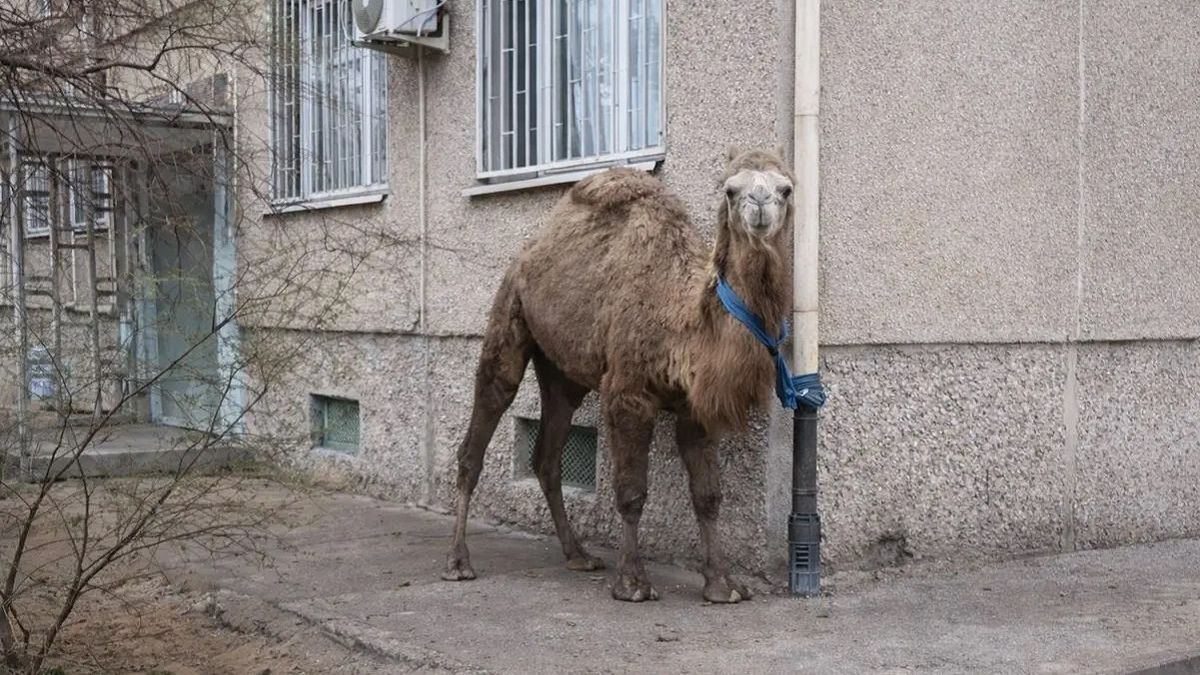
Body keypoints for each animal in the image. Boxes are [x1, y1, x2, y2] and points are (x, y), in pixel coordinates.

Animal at [442, 149, 795, 603]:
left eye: (786, 189)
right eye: (731, 190)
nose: (761, 205)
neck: (680, 321)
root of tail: (529, 251)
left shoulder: (694, 407)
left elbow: (708, 496)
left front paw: (722, 584)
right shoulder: (628, 392)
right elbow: (631, 491)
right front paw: (632, 582)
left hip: (561, 371)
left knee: (548, 454)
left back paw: (578, 554)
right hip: (508, 309)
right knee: (484, 419)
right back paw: (458, 561)